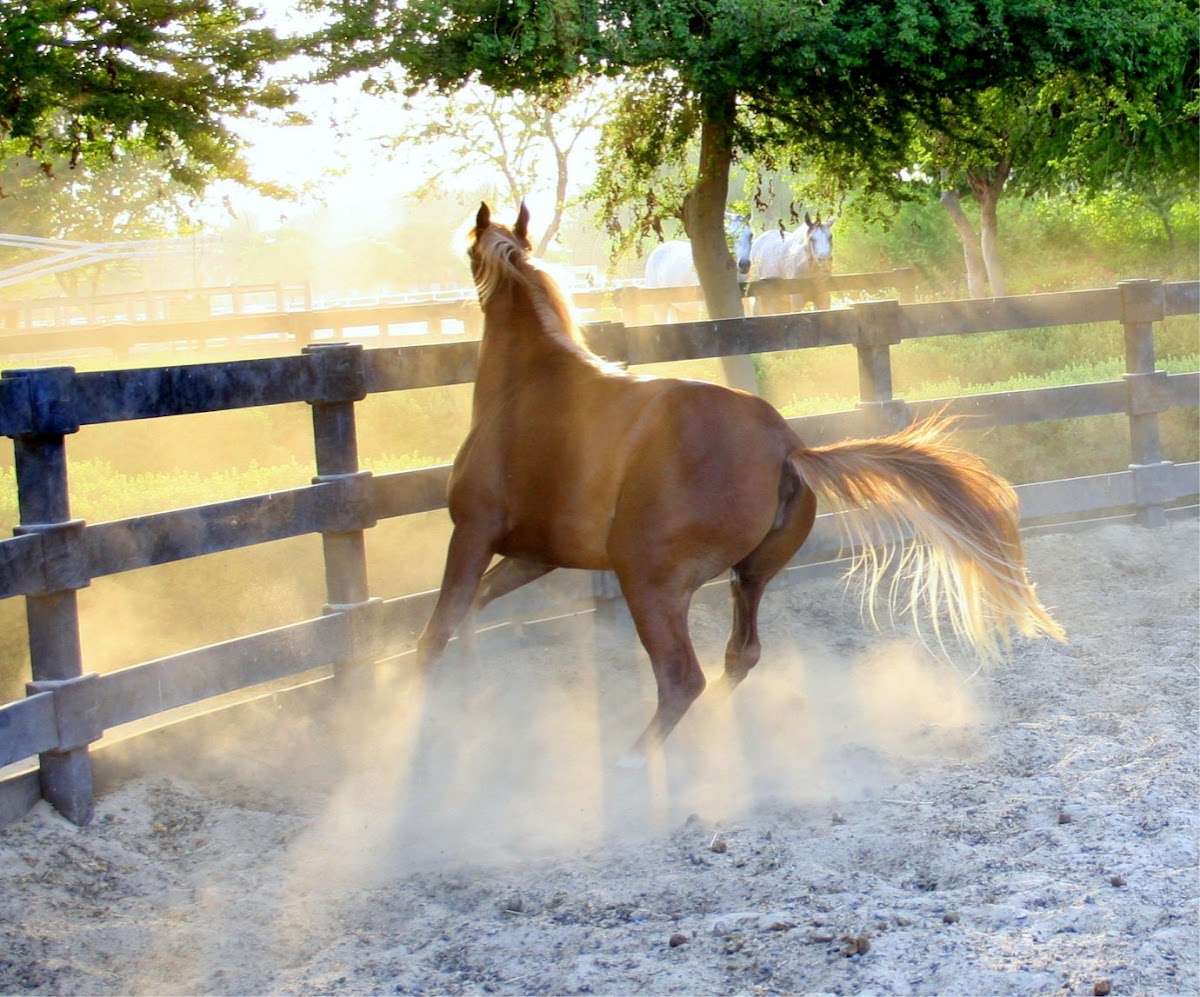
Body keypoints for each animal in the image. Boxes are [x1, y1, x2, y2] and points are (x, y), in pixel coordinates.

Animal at [417, 205, 1065, 763]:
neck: (527, 386)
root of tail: (785, 446)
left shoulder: (472, 532)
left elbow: (438, 626)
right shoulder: (534, 554)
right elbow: (472, 608)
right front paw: (469, 679)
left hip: (649, 580)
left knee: (683, 678)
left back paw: (634, 763)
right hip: (749, 576)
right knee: (739, 655)